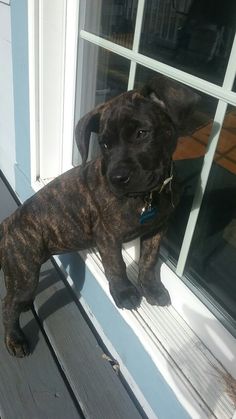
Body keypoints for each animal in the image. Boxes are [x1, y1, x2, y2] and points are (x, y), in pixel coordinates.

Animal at [0, 76, 199, 358]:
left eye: (142, 134)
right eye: (104, 144)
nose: (117, 177)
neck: (147, 196)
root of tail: (8, 223)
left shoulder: (157, 229)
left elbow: (149, 261)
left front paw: (151, 288)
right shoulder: (108, 236)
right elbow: (116, 265)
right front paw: (125, 293)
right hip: (25, 270)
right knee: (8, 304)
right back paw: (14, 339)